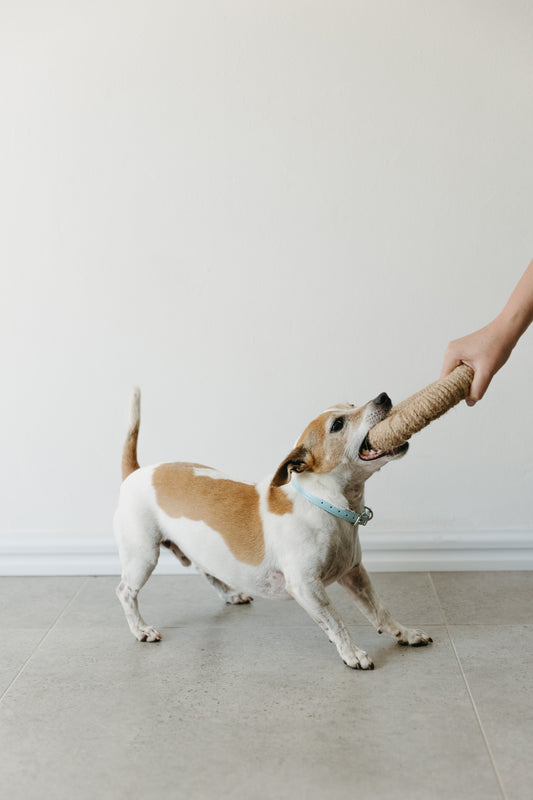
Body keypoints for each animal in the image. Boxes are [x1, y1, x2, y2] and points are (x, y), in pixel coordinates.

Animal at [114, 388, 430, 668]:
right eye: (338, 425)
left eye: (352, 403)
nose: (383, 397)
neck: (324, 503)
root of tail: (137, 472)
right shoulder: (306, 586)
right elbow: (336, 621)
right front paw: (352, 652)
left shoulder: (355, 574)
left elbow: (380, 611)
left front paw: (405, 634)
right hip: (143, 556)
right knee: (125, 592)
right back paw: (140, 629)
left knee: (206, 570)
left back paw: (230, 594)